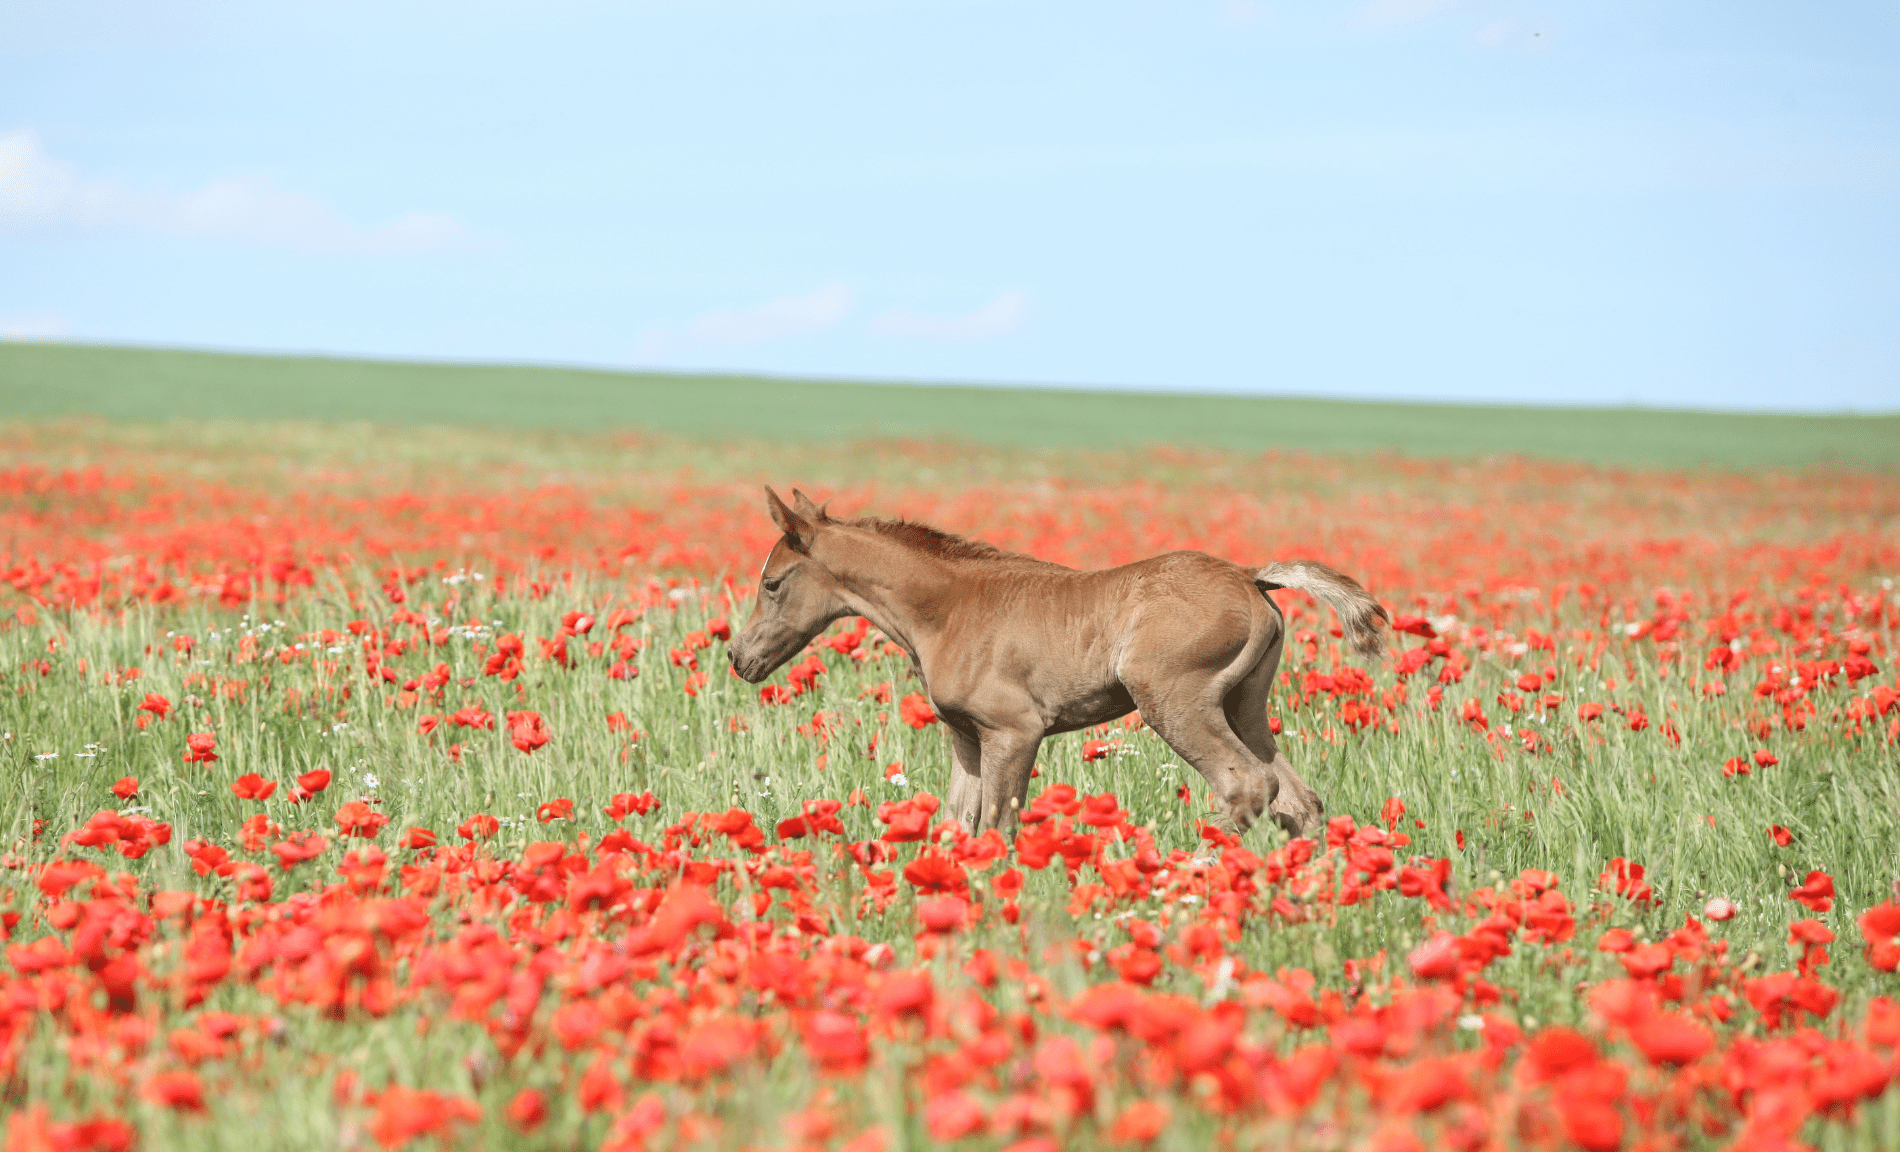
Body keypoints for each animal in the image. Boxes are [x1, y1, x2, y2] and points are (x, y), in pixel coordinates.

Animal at [728, 488, 1389, 837]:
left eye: (773, 583)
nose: (739, 657)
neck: (948, 611)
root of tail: (1252, 576)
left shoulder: (1014, 732)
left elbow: (998, 825)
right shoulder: (967, 737)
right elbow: (958, 823)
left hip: (1177, 700)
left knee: (1246, 785)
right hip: (1244, 703)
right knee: (1297, 800)